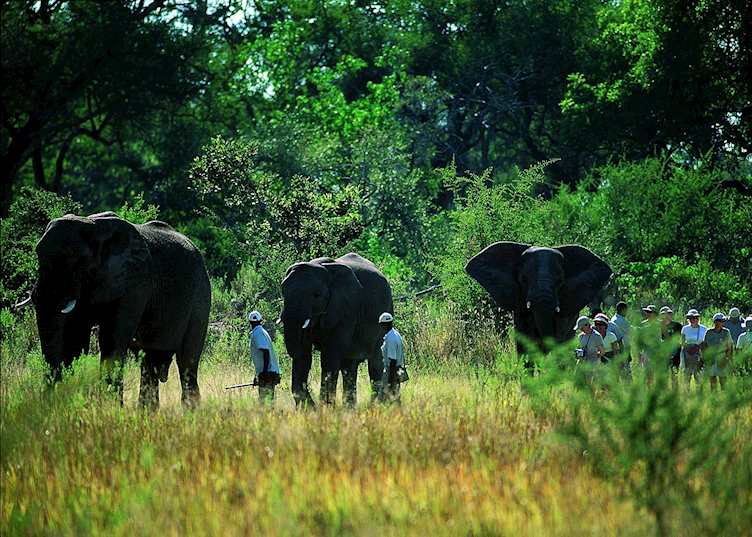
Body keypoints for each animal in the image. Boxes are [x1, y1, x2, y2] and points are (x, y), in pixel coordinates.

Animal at [29, 212, 211, 409]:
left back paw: (190, 410)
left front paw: (110, 409)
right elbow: (73, 341)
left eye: (76, 261)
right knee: (149, 362)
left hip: (201, 297)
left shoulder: (133, 282)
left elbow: (111, 341)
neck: (92, 227)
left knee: (187, 359)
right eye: (38, 255)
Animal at [280, 253, 393, 407]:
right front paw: (311, 409)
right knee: (349, 366)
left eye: (316, 295)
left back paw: (375, 404)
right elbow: (304, 356)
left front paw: (325, 408)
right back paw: (350, 408)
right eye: (283, 291)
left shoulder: (346, 309)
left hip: (386, 313)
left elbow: (329, 356)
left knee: (375, 362)